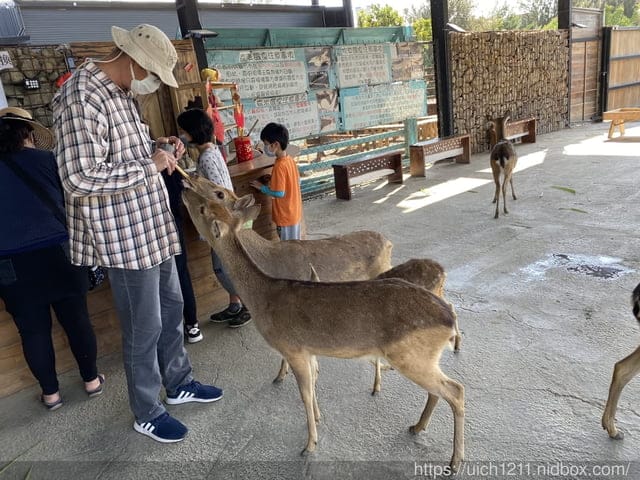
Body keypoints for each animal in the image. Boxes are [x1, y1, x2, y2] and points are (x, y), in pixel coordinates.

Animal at [181, 186, 465, 472]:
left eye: (206, 206)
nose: (184, 189)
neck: (263, 298)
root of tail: (448, 320)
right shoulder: (308, 350)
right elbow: (315, 382)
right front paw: (318, 419)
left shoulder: (292, 348)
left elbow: (305, 394)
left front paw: (309, 445)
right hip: (421, 358)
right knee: (440, 390)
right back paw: (417, 427)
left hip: (411, 356)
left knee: (456, 390)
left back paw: (454, 460)